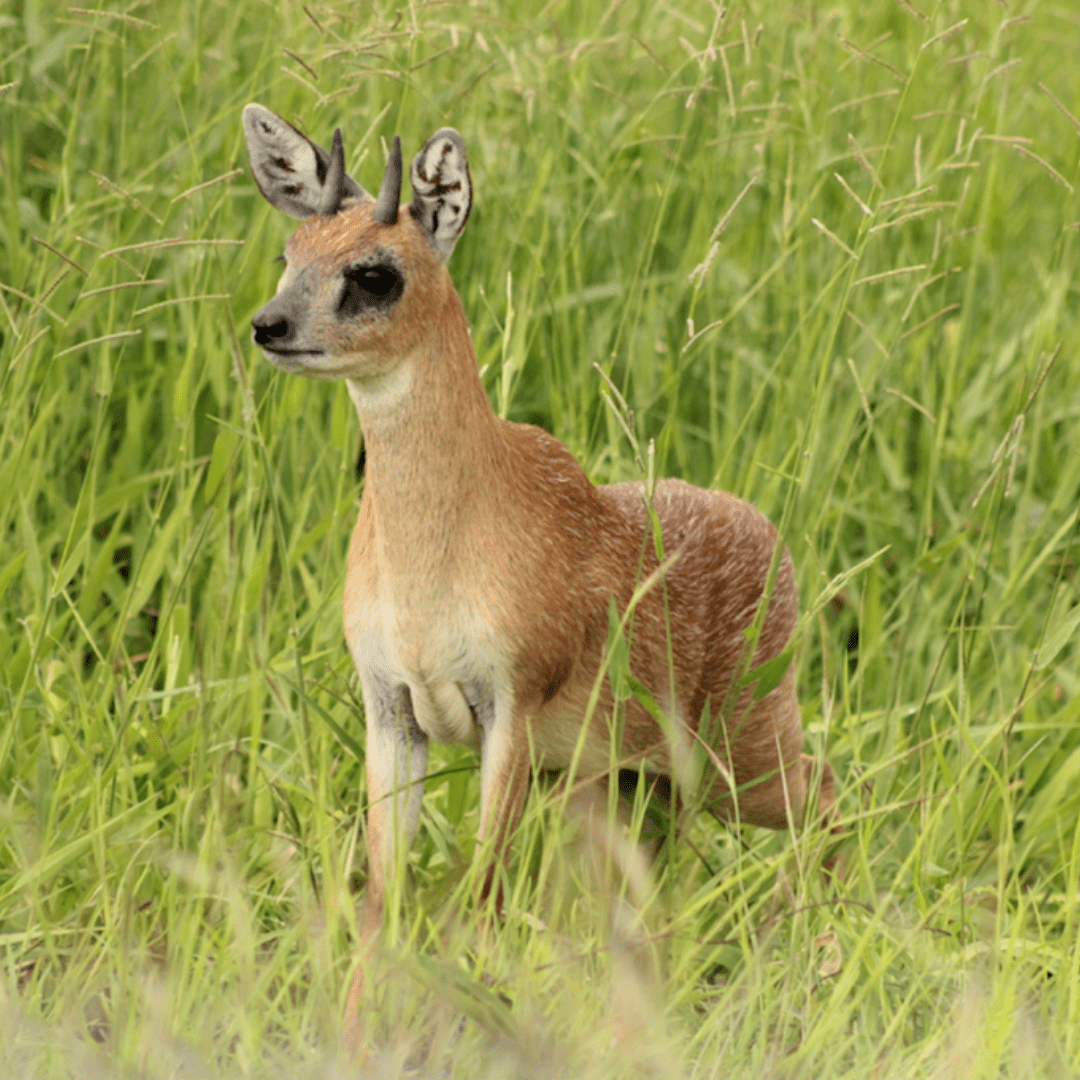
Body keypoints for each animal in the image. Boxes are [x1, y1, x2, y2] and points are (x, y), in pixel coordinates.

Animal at [243, 103, 833, 946]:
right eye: (289, 254)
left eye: (375, 273)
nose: (270, 325)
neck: (432, 568)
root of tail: (771, 538)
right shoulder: (391, 705)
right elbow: (383, 895)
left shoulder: (510, 702)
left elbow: (485, 893)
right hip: (636, 776)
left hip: (744, 749)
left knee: (830, 793)